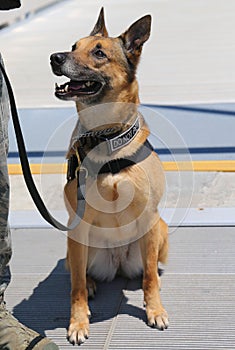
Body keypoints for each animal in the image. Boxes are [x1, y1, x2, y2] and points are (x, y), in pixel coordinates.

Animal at [50, 7, 168, 344]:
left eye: (99, 53)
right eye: (74, 46)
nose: (54, 57)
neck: (105, 139)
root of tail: (117, 265)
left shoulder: (149, 216)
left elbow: (150, 279)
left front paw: (154, 310)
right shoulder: (77, 224)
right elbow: (75, 286)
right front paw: (78, 323)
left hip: (160, 229)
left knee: (149, 269)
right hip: (75, 244)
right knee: (78, 274)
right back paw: (90, 284)